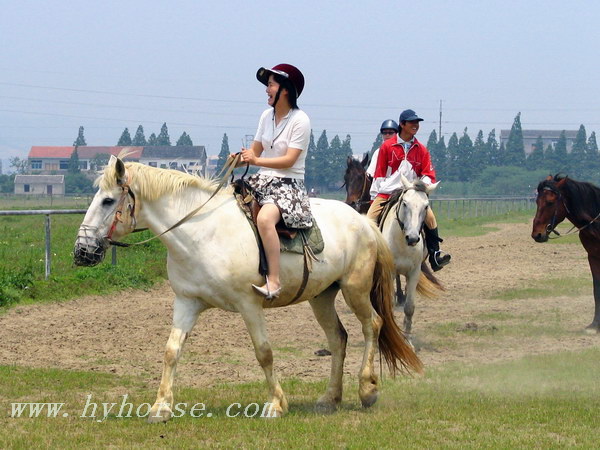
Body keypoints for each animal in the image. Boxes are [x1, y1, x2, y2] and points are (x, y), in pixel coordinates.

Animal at [74, 156, 422, 420]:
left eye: (107, 200)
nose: (82, 251)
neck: (201, 233)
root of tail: (363, 221)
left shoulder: (249, 304)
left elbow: (264, 353)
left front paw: (275, 404)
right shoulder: (186, 302)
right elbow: (172, 351)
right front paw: (161, 407)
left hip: (355, 289)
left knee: (372, 325)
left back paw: (367, 390)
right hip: (322, 297)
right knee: (338, 339)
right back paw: (329, 399)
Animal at [382, 176, 442, 338]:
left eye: (426, 206)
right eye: (404, 203)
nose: (413, 238)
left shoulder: (414, 272)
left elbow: (409, 308)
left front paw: (407, 338)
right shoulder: (389, 272)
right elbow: (389, 305)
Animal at [532, 174, 600, 332]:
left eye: (550, 202)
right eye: (537, 201)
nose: (537, 234)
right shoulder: (593, 257)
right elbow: (596, 289)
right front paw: (595, 325)